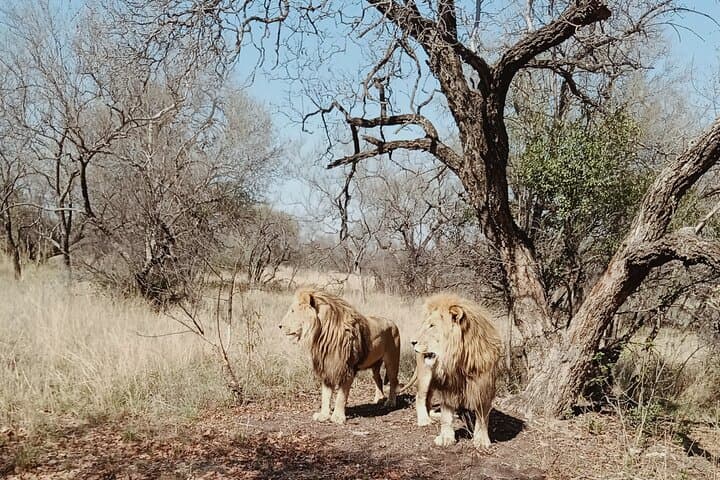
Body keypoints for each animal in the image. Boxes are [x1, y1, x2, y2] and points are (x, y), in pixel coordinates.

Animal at [279, 288, 401, 425]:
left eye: (293, 311)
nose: (279, 326)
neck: (321, 336)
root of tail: (392, 322)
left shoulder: (347, 370)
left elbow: (341, 396)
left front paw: (337, 417)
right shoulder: (326, 368)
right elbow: (325, 395)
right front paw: (323, 415)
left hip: (392, 361)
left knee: (394, 381)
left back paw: (390, 402)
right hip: (374, 365)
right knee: (378, 380)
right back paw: (378, 399)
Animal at [409, 293, 503, 448]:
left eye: (432, 326)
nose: (412, 342)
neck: (459, 361)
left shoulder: (484, 385)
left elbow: (482, 417)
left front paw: (481, 440)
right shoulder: (448, 386)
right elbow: (446, 417)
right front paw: (446, 438)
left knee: (428, 399)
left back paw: (433, 415)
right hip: (426, 375)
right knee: (420, 397)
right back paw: (424, 420)